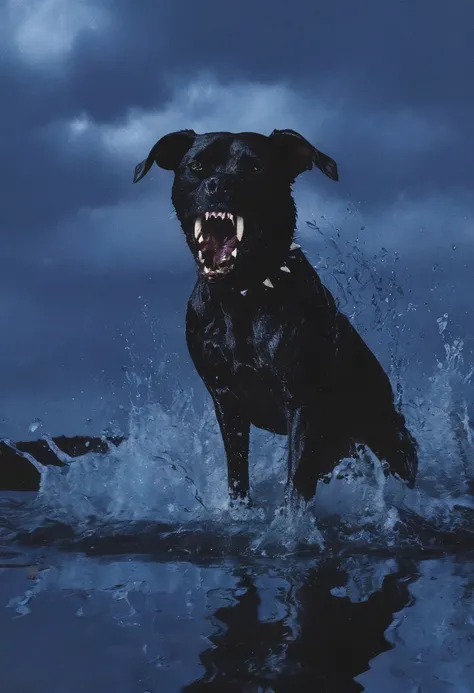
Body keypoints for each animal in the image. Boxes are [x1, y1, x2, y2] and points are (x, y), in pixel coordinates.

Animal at [131, 128, 416, 502]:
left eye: (255, 168)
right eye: (197, 166)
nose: (219, 185)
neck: (240, 296)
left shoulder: (301, 403)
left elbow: (295, 485)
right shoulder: (226, 402)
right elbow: (238, 478)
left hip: (389, 438)